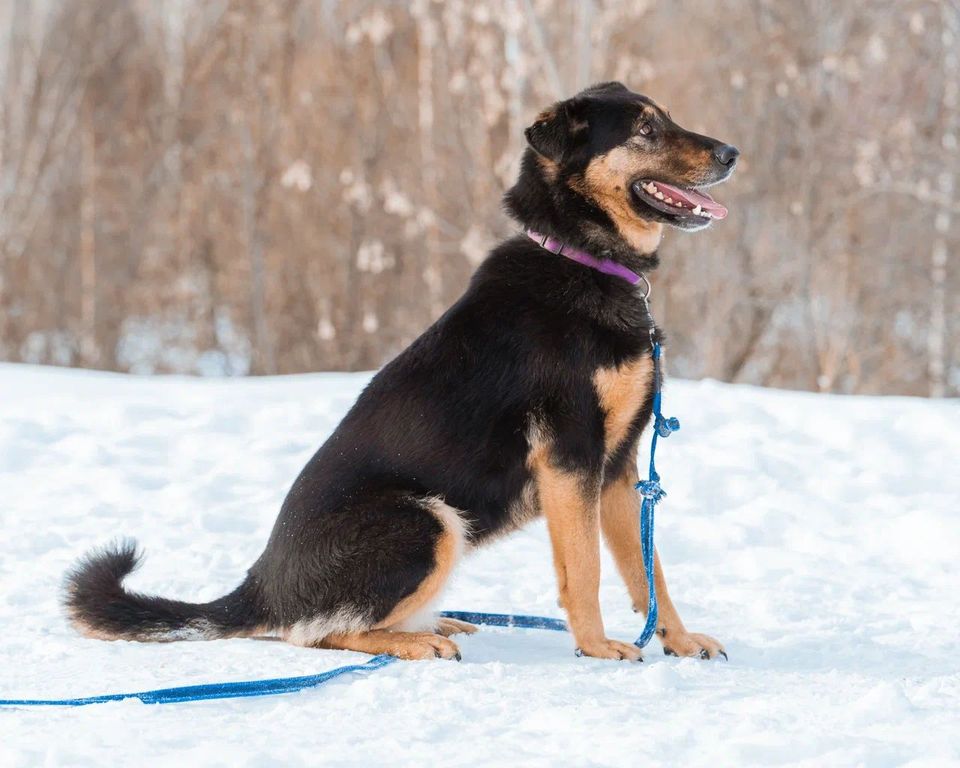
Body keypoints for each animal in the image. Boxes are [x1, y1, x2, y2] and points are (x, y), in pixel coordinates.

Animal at [65, 82, 744, 660]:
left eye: (667, 117)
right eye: (646, 129)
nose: (733, 152)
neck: (581, 258)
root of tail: (260, 586)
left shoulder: (619, 468)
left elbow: (648, 572)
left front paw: (678, 640)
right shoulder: (572, 457)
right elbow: (586, 570)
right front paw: (598, 648)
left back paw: (435, 623)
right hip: (426, 520)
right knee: (312, 634)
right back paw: (417, 640)